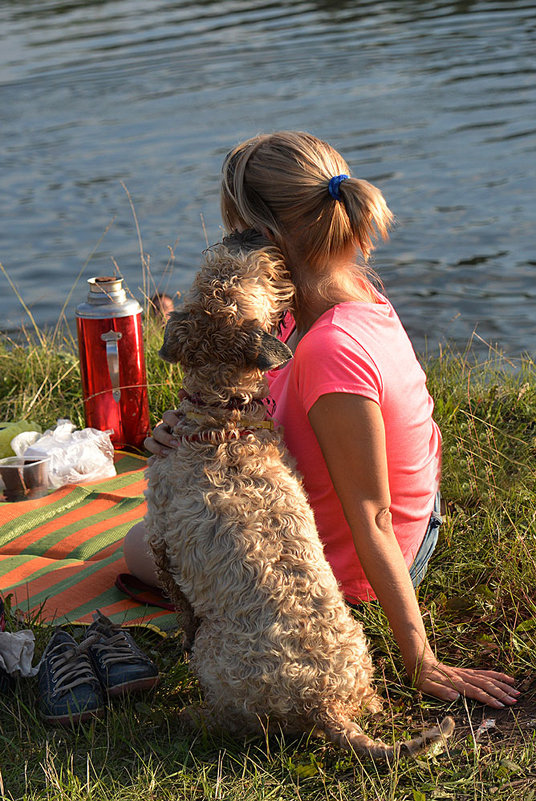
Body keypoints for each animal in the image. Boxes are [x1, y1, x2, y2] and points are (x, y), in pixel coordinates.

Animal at [144, 230, 454, 756]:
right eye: (214, 273)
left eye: (241, 273)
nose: (245, 235)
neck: (224, 419)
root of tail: (323, 702)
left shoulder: (159, 539)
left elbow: (179, 606)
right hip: (359, 656)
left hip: (217, 659)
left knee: (226, 711)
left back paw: (193, 715)